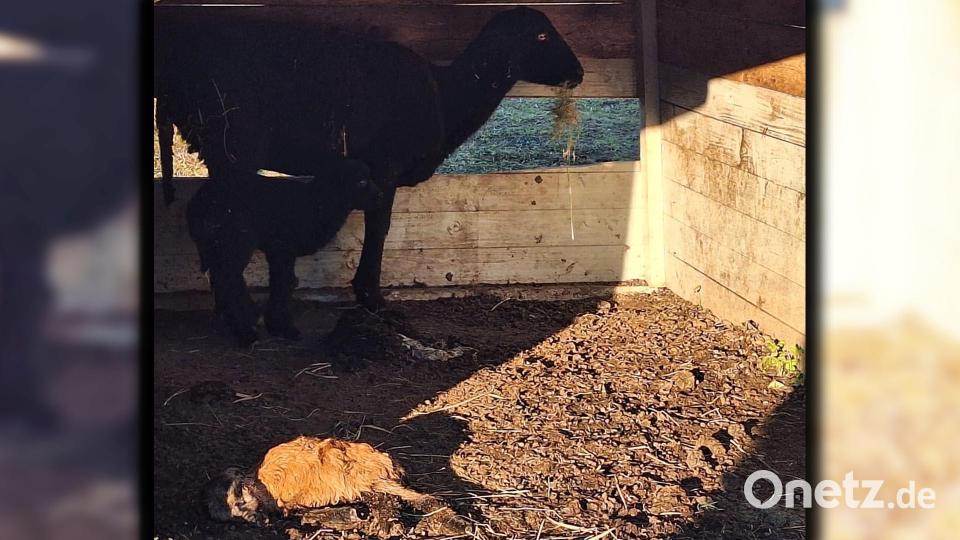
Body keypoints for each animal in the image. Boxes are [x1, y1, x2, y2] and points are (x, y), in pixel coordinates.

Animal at [155, 6, 584, 311]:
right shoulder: (385, 167)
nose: (579, 73)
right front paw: (370, 296)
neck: (446, 96)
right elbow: (380, 227)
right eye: (542, 34)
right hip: (232, 146)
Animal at [186, 159, 382, 345]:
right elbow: (285, 282)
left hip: (215, 245)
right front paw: (284, 327)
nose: (380, 196)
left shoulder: (276, 250)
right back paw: (246, 331)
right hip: (236, 240)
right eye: (362, 182)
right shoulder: (283, 248)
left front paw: (276, 324)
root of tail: (198, 204)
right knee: (229, 278)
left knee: (220, 277)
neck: (317, 203)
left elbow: (281, 282)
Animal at [203, 436, 471, 535]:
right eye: (235, 513)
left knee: (413, 497)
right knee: (387, 498)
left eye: (239, 495)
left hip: (364, 474)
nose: (254, 518)